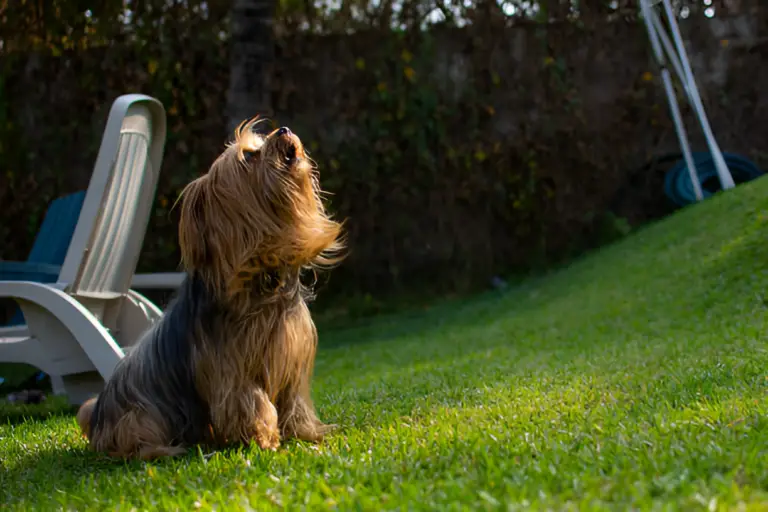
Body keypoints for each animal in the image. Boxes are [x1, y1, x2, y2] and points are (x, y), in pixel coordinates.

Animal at [76, 120, 344, 460]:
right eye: (249, 156)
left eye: (257, 146)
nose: (283, 129)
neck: (261, 273)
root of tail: (97, 417)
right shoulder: (230, 367)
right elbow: (249, 400)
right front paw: (262, 438)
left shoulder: (292, 358)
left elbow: (293, 402)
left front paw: (306, 433)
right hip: (140, 415)